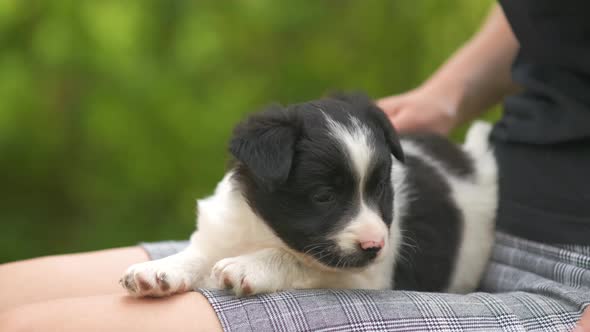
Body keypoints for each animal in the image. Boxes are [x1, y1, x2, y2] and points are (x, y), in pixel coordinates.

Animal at [121, 92, 500, 296]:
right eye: (324, 197)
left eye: (380, 188)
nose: (375, 246)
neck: (264, 231)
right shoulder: (224, 229)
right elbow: (198, 253)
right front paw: (160, 270)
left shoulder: (366, 275)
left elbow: (300, 260)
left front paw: (249, 266)